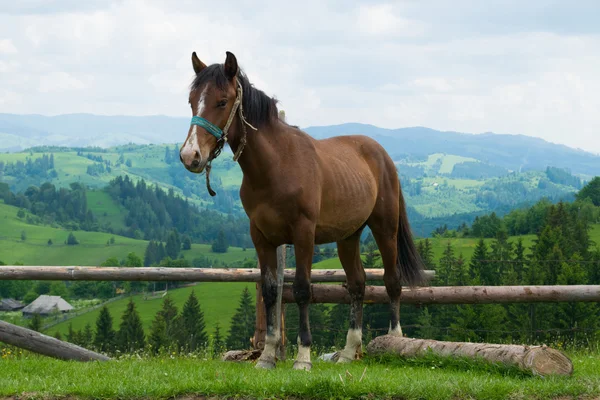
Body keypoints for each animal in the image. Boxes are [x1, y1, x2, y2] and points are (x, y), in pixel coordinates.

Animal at [179, 50, 426, 372]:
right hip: (348, 237)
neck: (276, 166)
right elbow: (271, 292)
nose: (190, 156)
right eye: (191, 100)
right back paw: (349, 352)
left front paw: (303, 357)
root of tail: (382, 155)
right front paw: (267, 356)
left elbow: (301, 289)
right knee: (357, 284)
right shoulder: (261, 237)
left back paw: (395, 339)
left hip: (385, 228)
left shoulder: (303, 234)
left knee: (392, 281)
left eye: (222, 101)